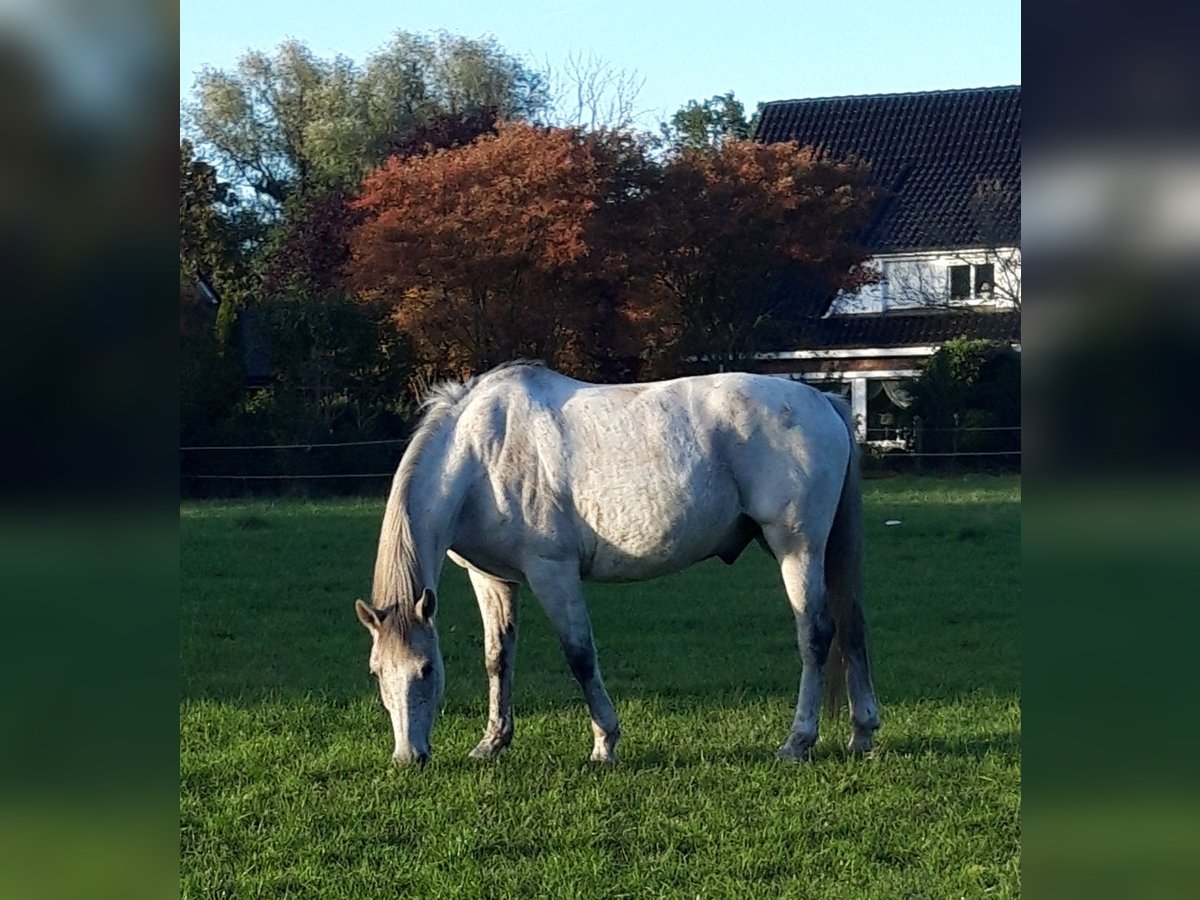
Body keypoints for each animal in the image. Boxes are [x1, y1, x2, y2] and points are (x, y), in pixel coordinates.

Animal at [355, 362, 883, 768]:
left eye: (426, 669)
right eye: (377, 672)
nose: (408, 758)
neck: (483, 453)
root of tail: (820, 400)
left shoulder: (553, 572)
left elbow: (580, 656)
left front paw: (604, 743)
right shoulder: (492, 578)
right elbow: (498, 658)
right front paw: (492, 742)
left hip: (798, 548)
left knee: (816, 633)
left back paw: (798, 741)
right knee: (851, 626)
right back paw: (862, 732)